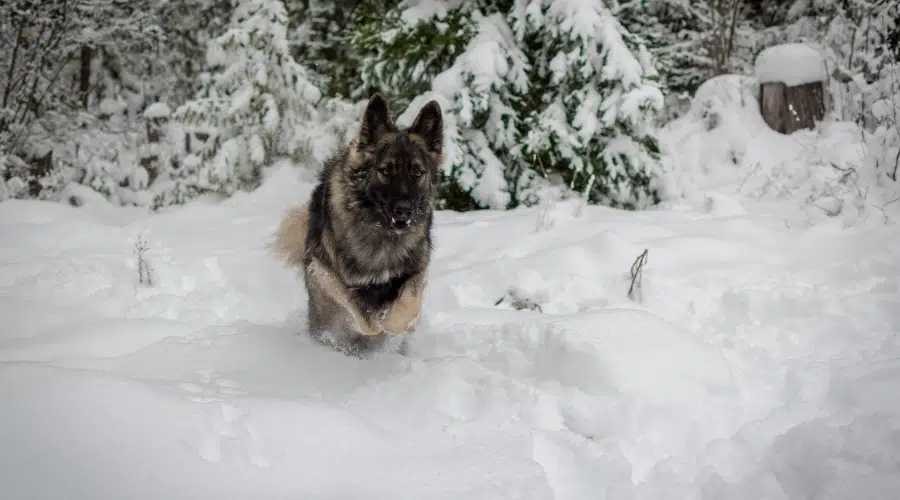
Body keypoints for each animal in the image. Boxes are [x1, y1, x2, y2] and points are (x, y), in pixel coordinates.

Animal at [272, 94, 444, 358]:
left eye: (417, 172)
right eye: (385, 171)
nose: (404, 210)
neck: (381, 232)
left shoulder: (416, 271)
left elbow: (408, 303)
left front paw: (397, 323)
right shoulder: (327, 272)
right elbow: (362, 314)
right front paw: (375, 324)